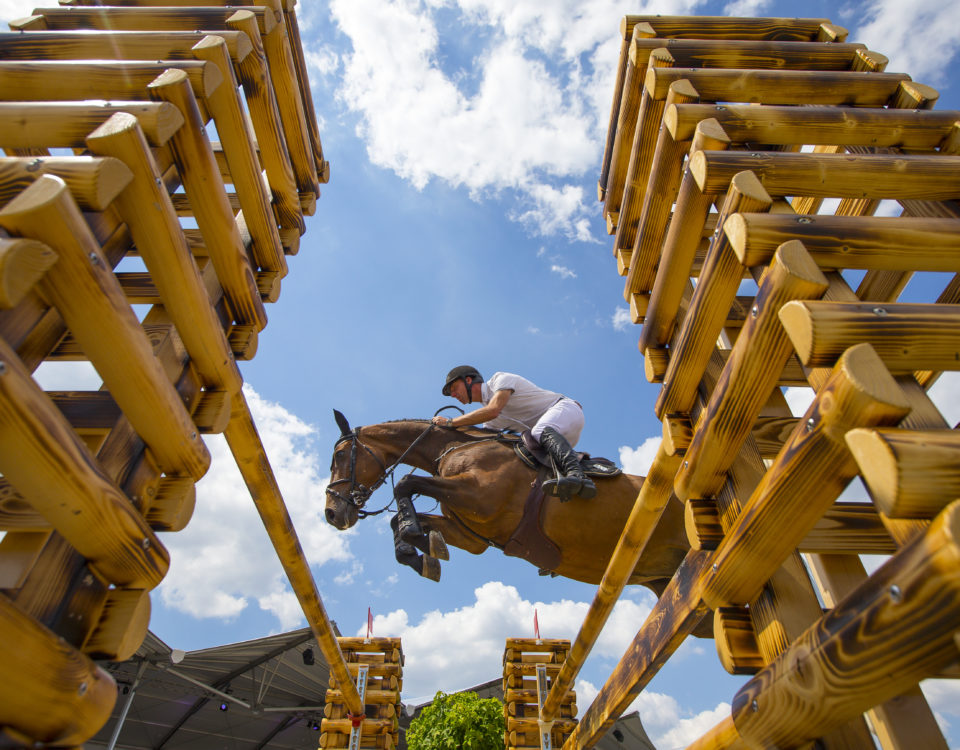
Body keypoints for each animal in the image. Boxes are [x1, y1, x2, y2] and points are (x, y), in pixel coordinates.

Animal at [322, 412, 688, 600]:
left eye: (339, 456)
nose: (331, 514)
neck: (452, 448)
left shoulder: (480, 497)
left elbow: (406, 484)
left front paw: (415, 536)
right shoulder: (469, 534)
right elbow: (400, 522)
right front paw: (423, 553)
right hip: (665, 580)